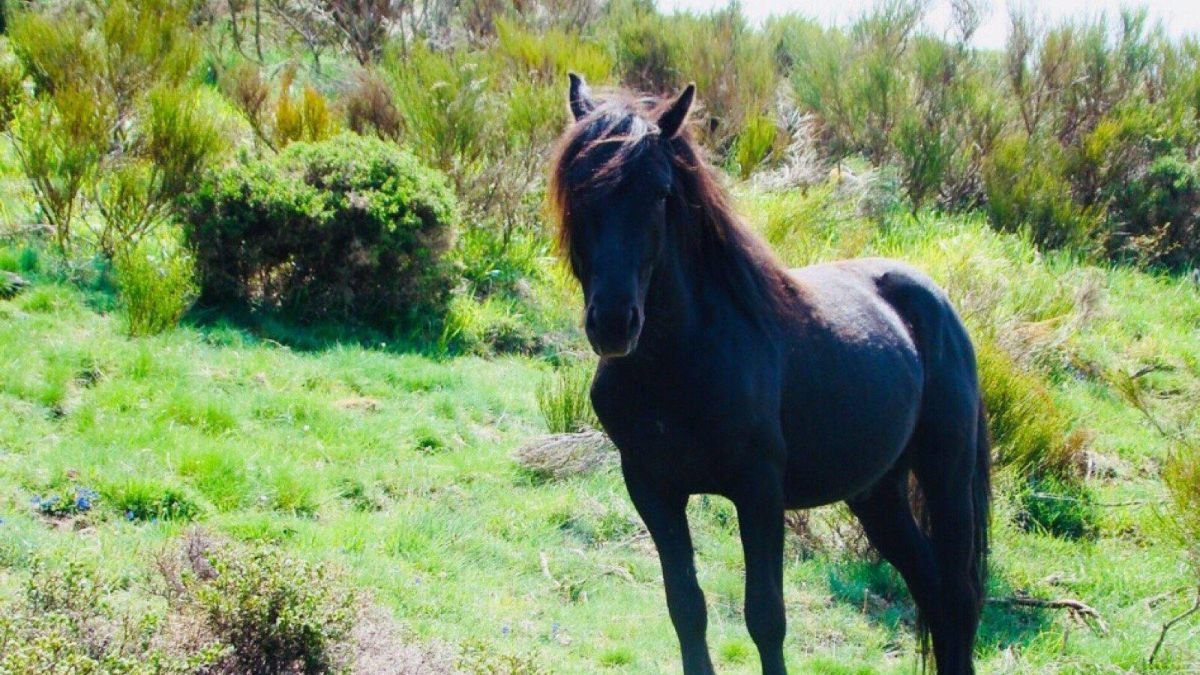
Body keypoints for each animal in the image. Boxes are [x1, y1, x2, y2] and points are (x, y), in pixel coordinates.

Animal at [548, 74, 990, 675]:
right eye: (576, 187)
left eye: (660, 193)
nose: (614, 323)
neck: (679, 363)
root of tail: (937, 300)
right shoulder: (651, 487)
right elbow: (686, 607)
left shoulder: (758, 490)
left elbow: (765, 616)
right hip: (878, 492)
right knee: (932, 589)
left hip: (947, 473)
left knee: (958, 597)